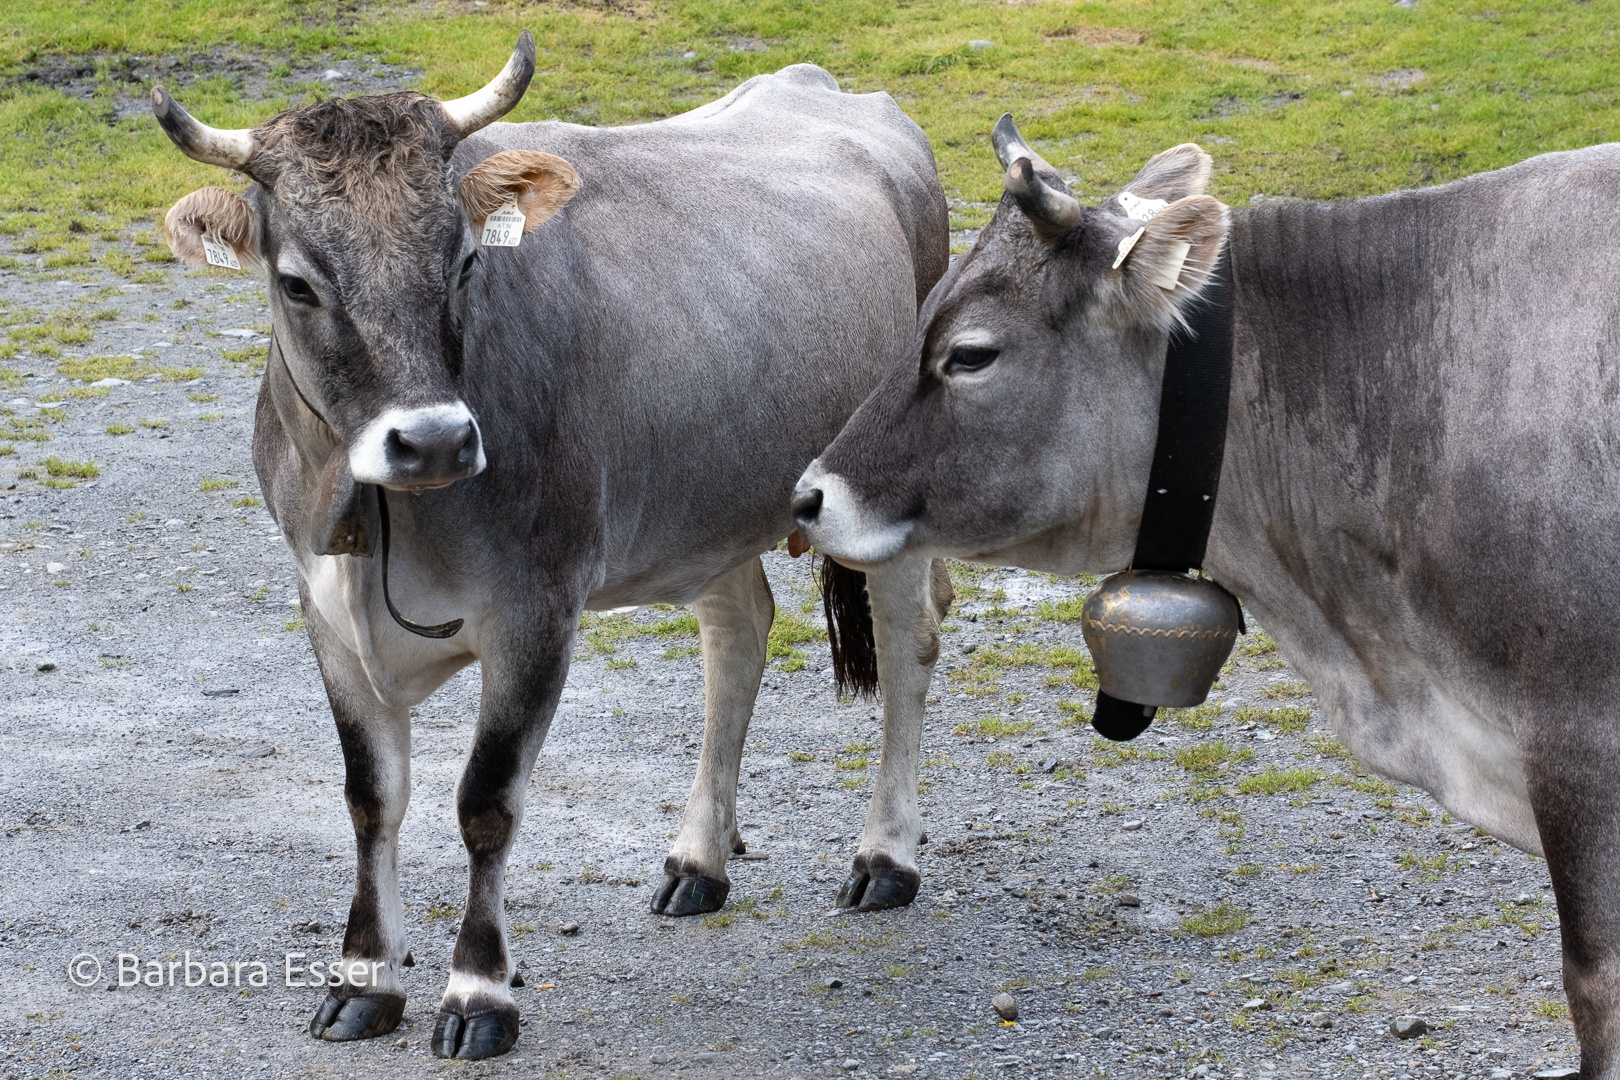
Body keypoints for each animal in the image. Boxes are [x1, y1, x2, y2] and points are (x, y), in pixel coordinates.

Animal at [152, 35, 946, 1062]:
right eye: (298, 283)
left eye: (461, 264)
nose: (435, 441)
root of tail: (834, 92)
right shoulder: (323, 611)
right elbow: (371, 796)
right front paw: (363, 977)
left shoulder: (536, 608)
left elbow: (486, 803)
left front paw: (478, 991)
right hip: (709, 500)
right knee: (738, 635)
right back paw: (699, 860)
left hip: (889, 492)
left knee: (905, 644)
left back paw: (885, 855)